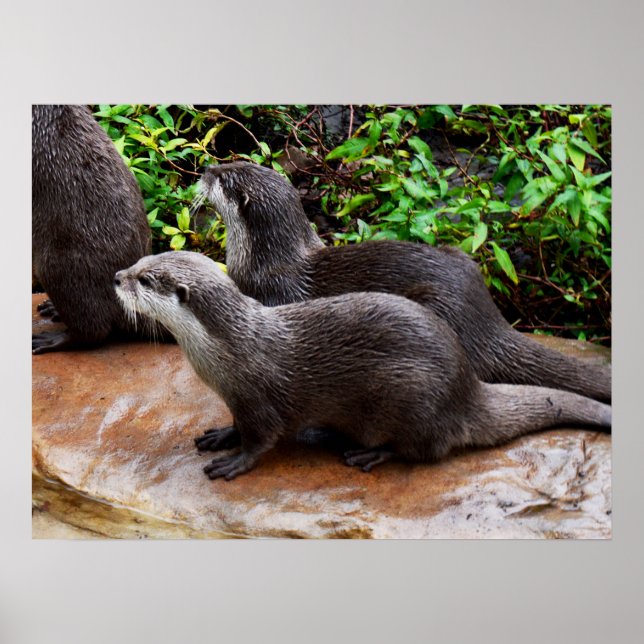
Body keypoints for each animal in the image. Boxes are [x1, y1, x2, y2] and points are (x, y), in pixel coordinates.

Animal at [114, 251, 611, 480]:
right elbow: (236, 425)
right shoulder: (238, 399)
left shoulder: (260, 398)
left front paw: (235, 462)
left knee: (424, 450)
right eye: (142, 260)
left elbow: (261, 440)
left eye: (146, 279)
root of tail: (468, 391)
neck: (231, 349)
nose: (116, 276)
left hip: (411, 397)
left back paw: (367, 453)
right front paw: (221, 434)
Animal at [198, 161, 611, 403]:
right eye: (234, 160)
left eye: (223, 178)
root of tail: (488, 322)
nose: (204, 167)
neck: (265, 259)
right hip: (461, 256)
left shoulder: (275, 295)